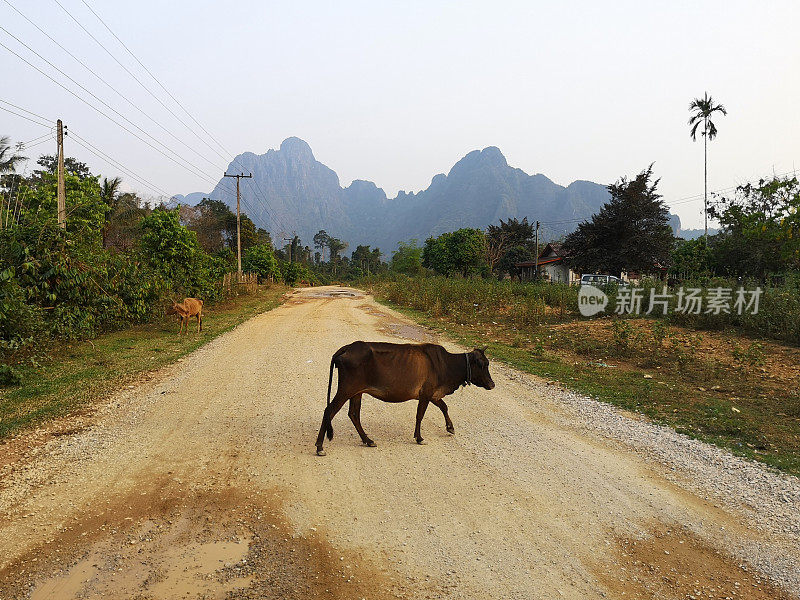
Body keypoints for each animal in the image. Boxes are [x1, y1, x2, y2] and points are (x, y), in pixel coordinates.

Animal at [314, 342, 494, 454]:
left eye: (487, 363)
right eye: (482, 364)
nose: (492, 384)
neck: (446, 365)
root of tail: (348, 347)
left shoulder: (433, 394)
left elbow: (444, 406)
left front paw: (450, 427)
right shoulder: (426, 393)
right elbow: (420, 415)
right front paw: (419, 438)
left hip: (357, 392)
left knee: (353, 414)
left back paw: (368, 440)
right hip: (346, 389)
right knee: (329, 410)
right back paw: (319, 447)